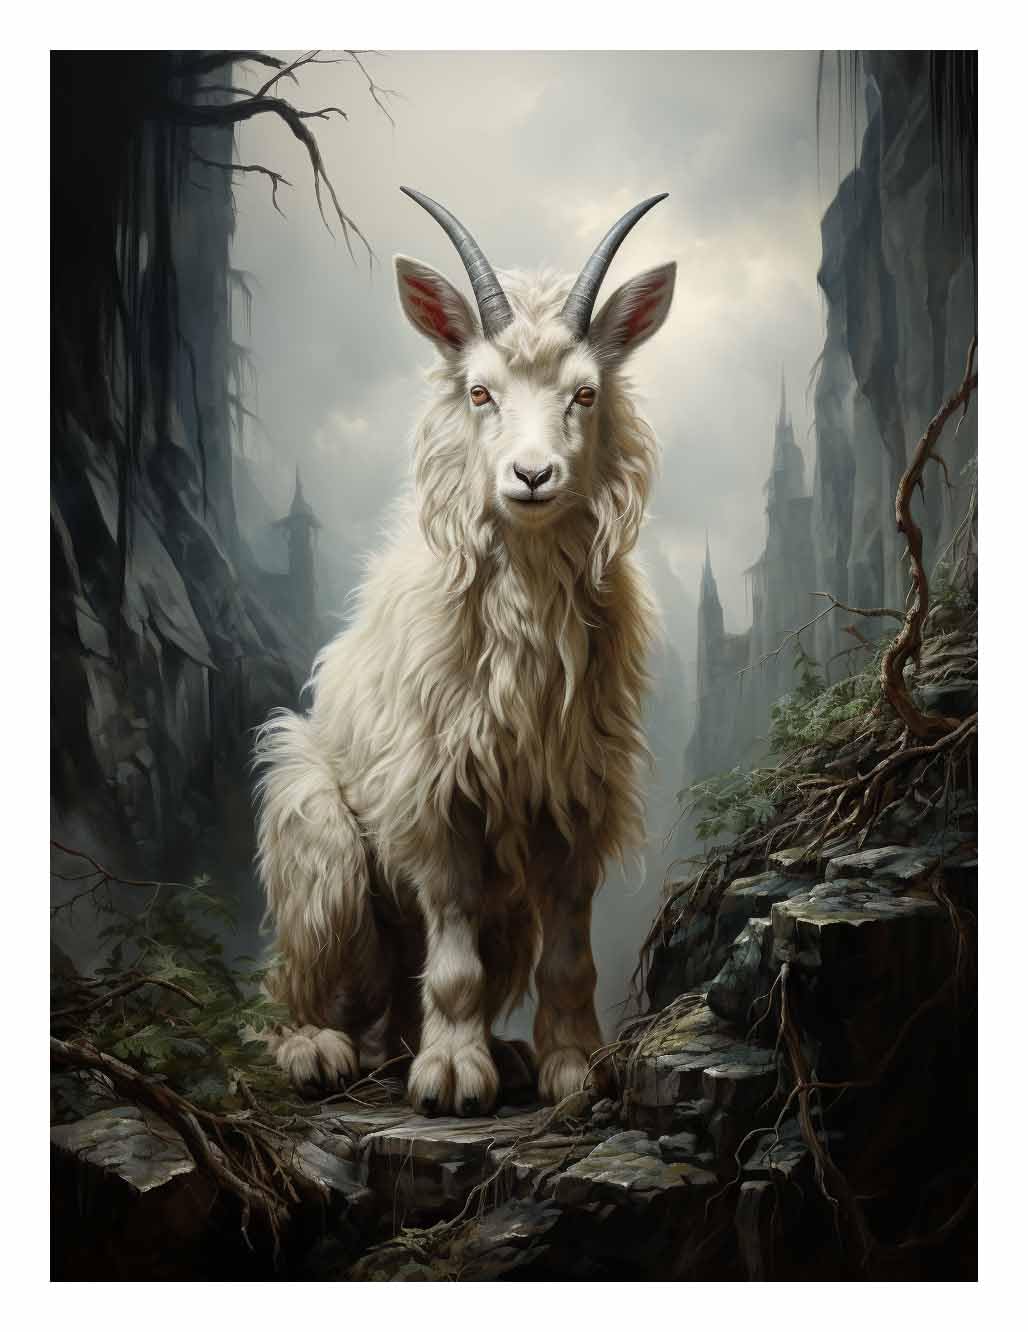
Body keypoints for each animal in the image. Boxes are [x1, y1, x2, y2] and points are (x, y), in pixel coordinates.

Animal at [255, 188, 676, 1116]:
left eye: (585, 393)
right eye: (480, 391)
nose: (532, 476)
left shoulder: (574, 794)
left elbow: (571, 952)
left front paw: (572, 1067)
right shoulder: (434, 790)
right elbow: (451, 949)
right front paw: (452, 1077)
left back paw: (490, 1054)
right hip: (318, 841)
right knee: (312, 980)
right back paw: (320, 1050)